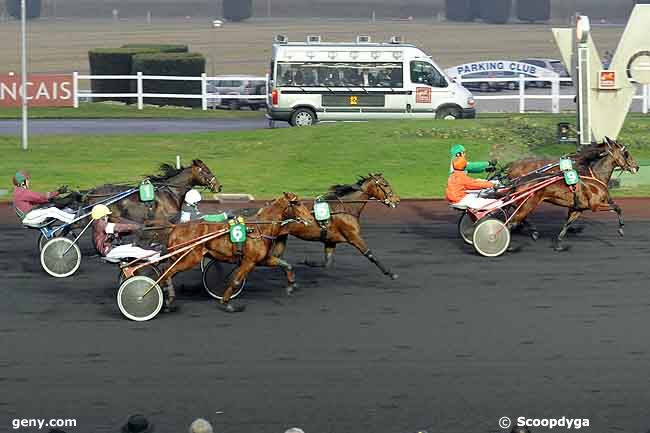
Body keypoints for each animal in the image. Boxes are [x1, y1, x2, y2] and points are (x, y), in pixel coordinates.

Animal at [162, 192, 314, 310]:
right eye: (297, 203)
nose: (311, 218)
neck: (259, 229)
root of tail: (175, 229)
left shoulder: (263, 259)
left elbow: (286, 265)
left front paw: (292, 285)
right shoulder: (249, 261)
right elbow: (235, 281)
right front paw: (226, 302)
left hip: (179, 257)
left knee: (167, 271)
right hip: (190, 258)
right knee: (168, 272)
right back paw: (168, 299)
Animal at [268, 173, 400, 280]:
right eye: (385, 184)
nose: (397, 200)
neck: (345, 208)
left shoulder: (330, 241)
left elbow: (327, 262)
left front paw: (305, 261)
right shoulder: (353, 236)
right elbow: (370, 254)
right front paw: (390, 273)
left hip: (282, 236)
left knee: (276, 256)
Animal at [504, 137, 636, 250]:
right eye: (626, 153)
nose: (636, 166)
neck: (594, 175)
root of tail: (518, 180)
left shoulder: (577, 208)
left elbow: (566, 224)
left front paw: (559, 244)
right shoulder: (595, 205)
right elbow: (617, 208)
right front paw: (621, 229)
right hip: (527, 205)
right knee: (511, 222)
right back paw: (514, 242)